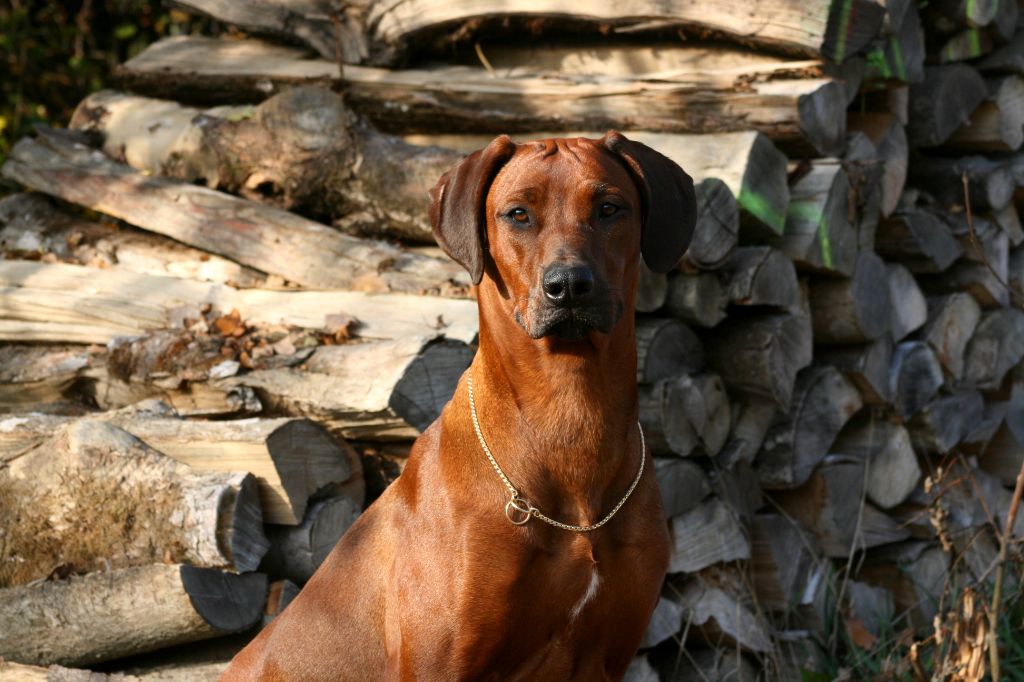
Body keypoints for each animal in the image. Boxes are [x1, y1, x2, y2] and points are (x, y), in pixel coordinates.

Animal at [222, 130, 696, 675]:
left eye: (609, 208)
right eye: (517, 214)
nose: (569, 286)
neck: (570, 412)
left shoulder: (605, 657)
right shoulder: (440, 663)